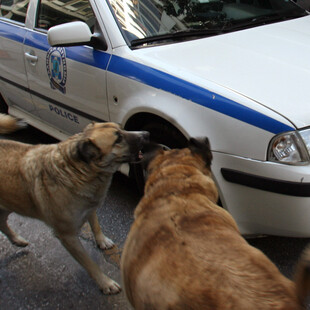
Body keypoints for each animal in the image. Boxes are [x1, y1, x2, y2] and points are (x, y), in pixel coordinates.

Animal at [0, 120, 149, 294]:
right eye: (117, 139)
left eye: (120, 128)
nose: (146, 134)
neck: (78, 170)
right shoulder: (67, 236)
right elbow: (89, 263)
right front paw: (105, 283)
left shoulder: (90, 205)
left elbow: (95, 224)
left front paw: (102, 241)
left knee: (3, 222)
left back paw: (17, 240)